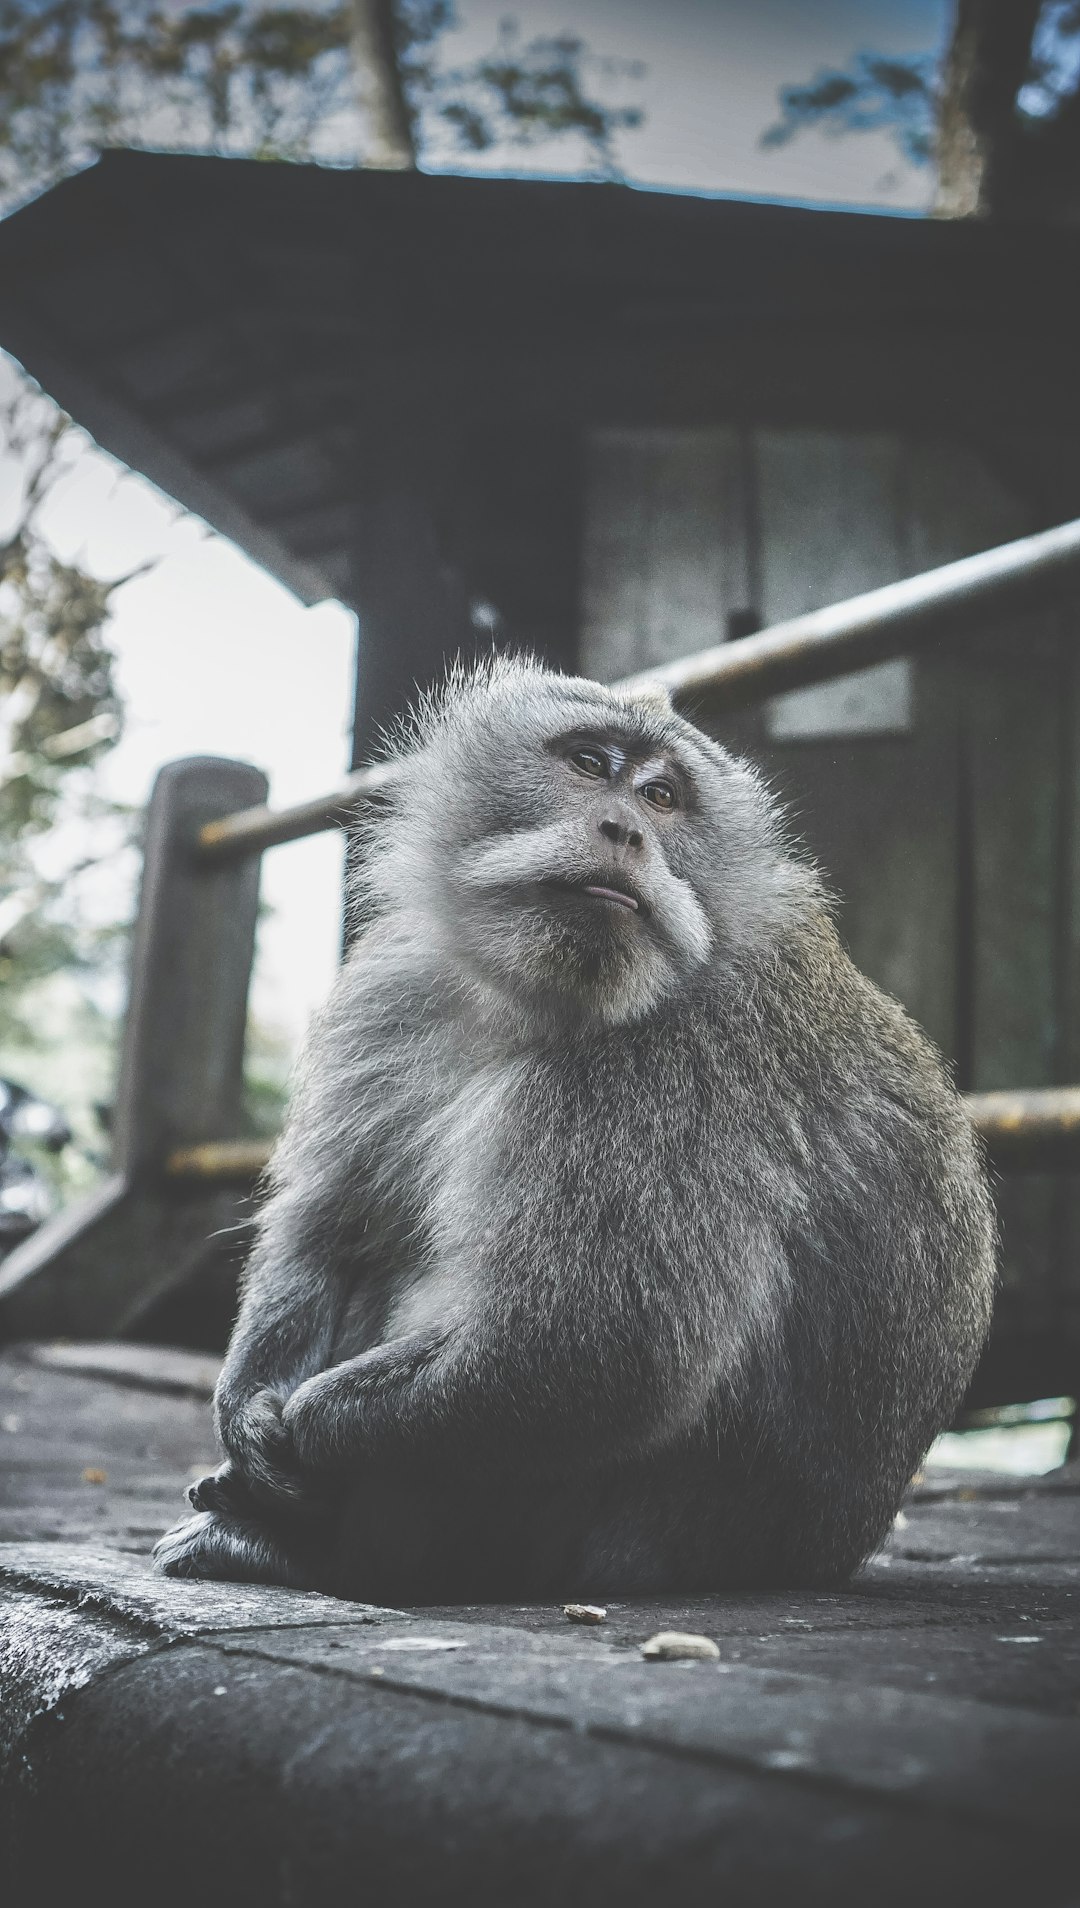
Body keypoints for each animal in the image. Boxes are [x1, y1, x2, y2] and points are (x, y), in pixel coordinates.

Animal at [152, 656, 999, 1595]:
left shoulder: (671, 1071)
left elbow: (592, 1353)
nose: (624, 830)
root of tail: (821, 1559)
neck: (536, 999)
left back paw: (302, 1547)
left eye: (663, 796)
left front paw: (300, 1435)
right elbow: (331, 1223)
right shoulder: (393, 982)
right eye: (591, 764)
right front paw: (247, 1409)